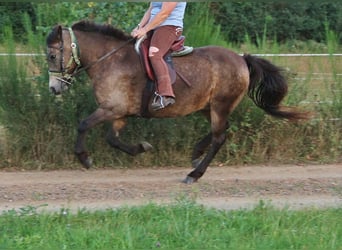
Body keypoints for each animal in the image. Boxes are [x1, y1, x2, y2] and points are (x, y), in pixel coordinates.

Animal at [46, 21, 310, 184]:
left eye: (51, 55)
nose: (54, 88)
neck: (110, 60)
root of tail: (241, 59)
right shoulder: (120, 113)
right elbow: (113, 139)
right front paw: (142, 148)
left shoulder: (112, 108)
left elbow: (83, 125)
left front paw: (84, 158)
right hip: (208, 107)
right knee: (223, 130)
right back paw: (196, 153)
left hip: (220, 105)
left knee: (219, 137)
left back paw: (195, 173)